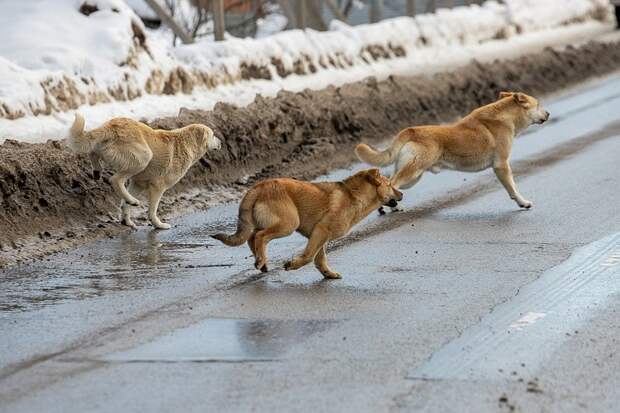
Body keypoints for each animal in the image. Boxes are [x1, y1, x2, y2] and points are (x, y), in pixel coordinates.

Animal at [67, 113, 221, 229]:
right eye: (213, 135)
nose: (220, 143)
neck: (186, 143)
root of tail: (111, 125)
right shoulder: (158, 187)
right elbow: (153, 209)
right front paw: (159, 224)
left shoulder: (138, 183)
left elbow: (125, 206)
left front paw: (127, 221)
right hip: (144, 156)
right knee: (115, 179)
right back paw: (133, 200)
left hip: (109, 150)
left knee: (93, 153)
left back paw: (98, 171)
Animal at [211, 168, 402, 279]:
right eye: (389, 184)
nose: (402, 194)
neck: (353, 196)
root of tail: (259, 186)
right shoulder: (321, 230)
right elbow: (309, 256)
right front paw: (293, 265)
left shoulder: (320, 235)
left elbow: (320, 259)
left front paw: (328, 274)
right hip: (288, 223)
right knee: (260, 236)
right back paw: (261, 260)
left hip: (270, 222)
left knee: (252, 237)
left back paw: (262, 261)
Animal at [355, 92, 550, 214]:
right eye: (538, 104)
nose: (548, 113)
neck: (505, 117)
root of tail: (411, 130)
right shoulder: (501, 165)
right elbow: (513, 189)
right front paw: (523, 203)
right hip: (413, 172)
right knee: (391, 183)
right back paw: (393, 207)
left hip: (413, 175)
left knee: (389, 182)